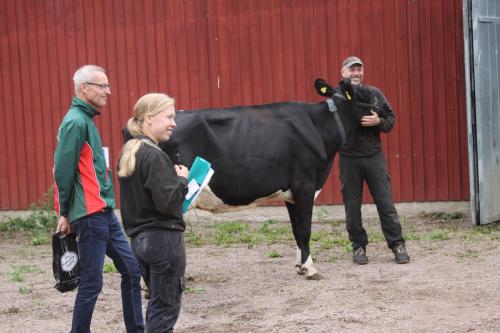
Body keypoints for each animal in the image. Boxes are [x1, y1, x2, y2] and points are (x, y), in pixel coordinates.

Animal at [133, 79, 376, 278]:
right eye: (366, 93)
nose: (382, 108)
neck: (318, 126)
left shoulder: (291, 193)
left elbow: (297, 229)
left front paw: (300, 266)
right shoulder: (305, 184)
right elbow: (305, 228)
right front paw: (310, 268)